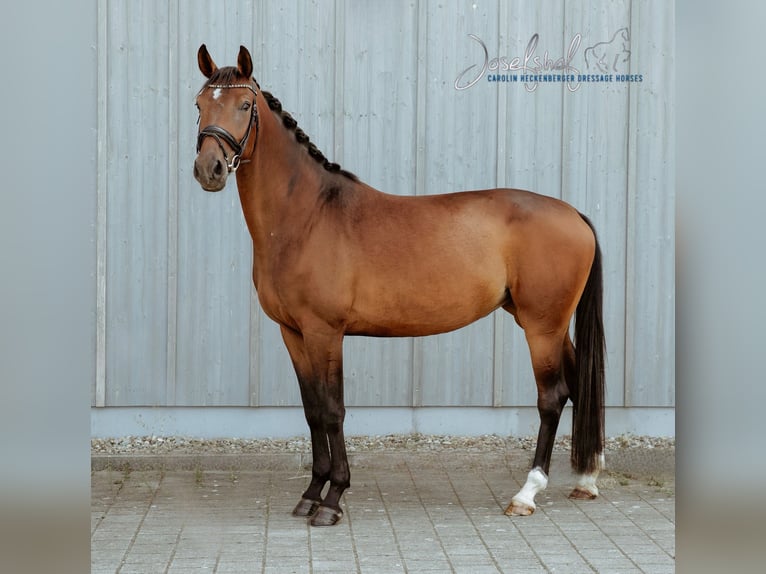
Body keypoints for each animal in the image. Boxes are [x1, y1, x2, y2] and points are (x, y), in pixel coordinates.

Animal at [193, 45, 605, 527]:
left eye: (245, 105)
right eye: (199, 105)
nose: (209, 169)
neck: (306, 216)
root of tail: (573, 214)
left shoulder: (325, 332)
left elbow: (332, 410)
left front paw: (333, 499)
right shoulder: (292, 332)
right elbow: (312, 411)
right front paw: (311, 493)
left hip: (543, 327)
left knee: (553, 397)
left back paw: (527, 493)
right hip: (549, 325)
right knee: (579, 386)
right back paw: (586, 480)